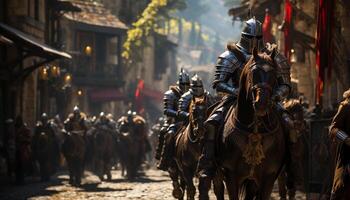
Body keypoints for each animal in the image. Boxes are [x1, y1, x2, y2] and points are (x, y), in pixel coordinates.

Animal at [211, 48, 288, 200]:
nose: (261, 104)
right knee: (218, 190)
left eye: (274, 74)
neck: (255, 130)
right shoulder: (230, 175)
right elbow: (220, 82)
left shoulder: (268, 177)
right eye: (254, 73)